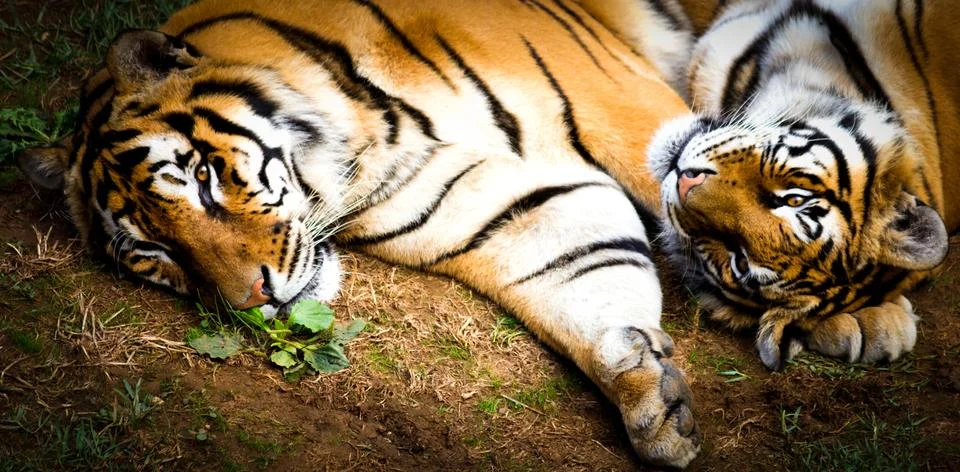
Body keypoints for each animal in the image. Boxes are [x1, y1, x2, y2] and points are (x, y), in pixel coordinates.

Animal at [16, 0, 703, 467]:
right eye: (155, 251)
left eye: (204, 178)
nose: (255, 299)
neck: (373, 134)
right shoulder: (513, 205)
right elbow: (589, 281)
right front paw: (655, 402)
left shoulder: (617, 102)